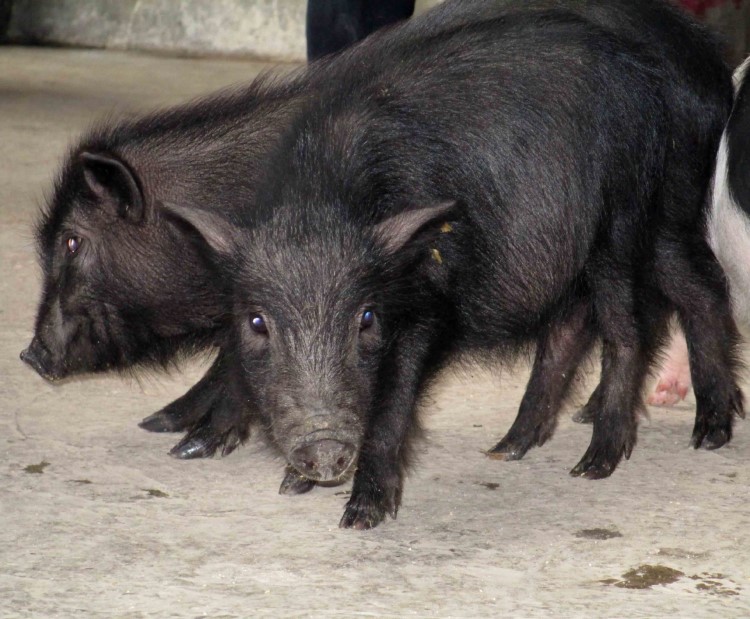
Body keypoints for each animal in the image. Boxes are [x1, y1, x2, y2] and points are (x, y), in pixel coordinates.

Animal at [176, 13, 748, 528]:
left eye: (366, 319)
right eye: (256, 323)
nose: (323, 448)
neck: (325, 202)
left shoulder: (427, 303)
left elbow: (394, 400)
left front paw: (360, 517)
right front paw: (292, 486)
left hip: (625, 222)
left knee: (639, 323)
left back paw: (609, 460)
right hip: (632, 233)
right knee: (640, 305)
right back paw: (516, 448)